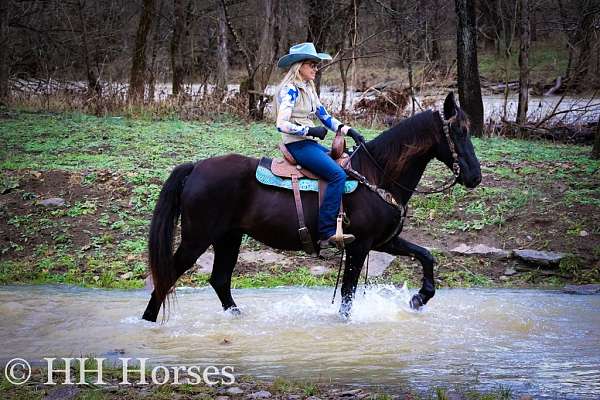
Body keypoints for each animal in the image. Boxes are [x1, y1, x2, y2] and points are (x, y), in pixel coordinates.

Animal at [142, 91, 482, 322]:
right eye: (459, 131)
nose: (475, 176)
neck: (376, 175)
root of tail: (196, 167)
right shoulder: (359, 247)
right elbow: (347, 296)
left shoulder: (384, 242)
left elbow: (426, 256)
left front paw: (419, 298)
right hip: (197, 238)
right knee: (168, 276)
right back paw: (147, 323)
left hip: (229, 238)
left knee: (220, 280)